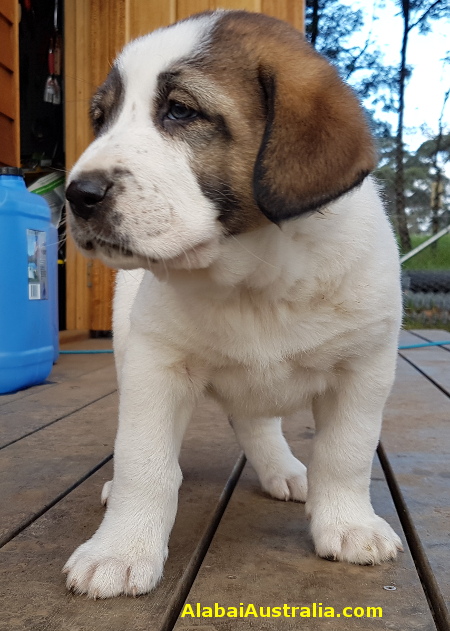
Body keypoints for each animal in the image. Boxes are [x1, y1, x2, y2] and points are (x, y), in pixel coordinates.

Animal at [65, 12, 402, 600]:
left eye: (180, 111)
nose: (76, 194)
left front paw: (349, 524)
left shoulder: (365, 368)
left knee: (258, 422)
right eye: (100, 120)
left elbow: (347, 452)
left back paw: (285, 470)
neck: (255, 277)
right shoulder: (156, 366)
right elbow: (143, 461)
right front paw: (121, 549)